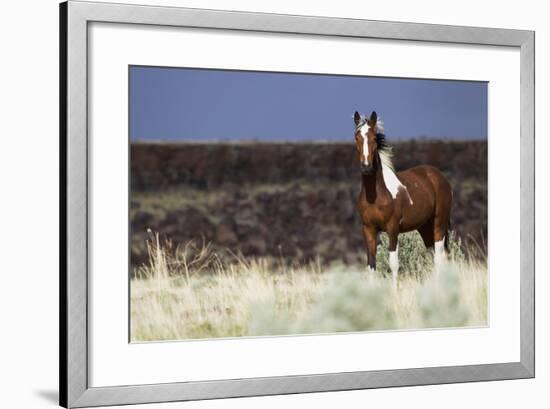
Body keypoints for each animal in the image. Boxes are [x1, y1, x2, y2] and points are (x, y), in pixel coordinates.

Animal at [356, 110, 454, 284]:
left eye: (374, 138)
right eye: (357, 137)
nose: (366, 167)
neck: (376, 196)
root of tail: (440, 177)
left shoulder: (392, 229)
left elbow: (393, 264)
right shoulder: (368, 229)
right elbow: (371, 267)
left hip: (439, 223)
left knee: (439, 258)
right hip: (425, 227)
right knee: (434, 256)